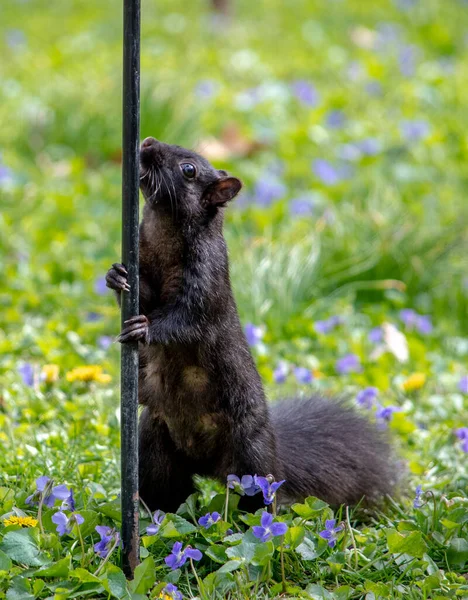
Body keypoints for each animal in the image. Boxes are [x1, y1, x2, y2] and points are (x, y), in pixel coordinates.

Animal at [105, 137, 394, 510]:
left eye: (189, 169)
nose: (149, 142)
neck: (162, 230)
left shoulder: (207, 279)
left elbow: (186, 319)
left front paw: (146, 329)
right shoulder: (145, 267)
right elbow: (143, 296)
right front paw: (115, 276)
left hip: (250, 459)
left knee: (258, 499)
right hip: (155, 448)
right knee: (167, 493)